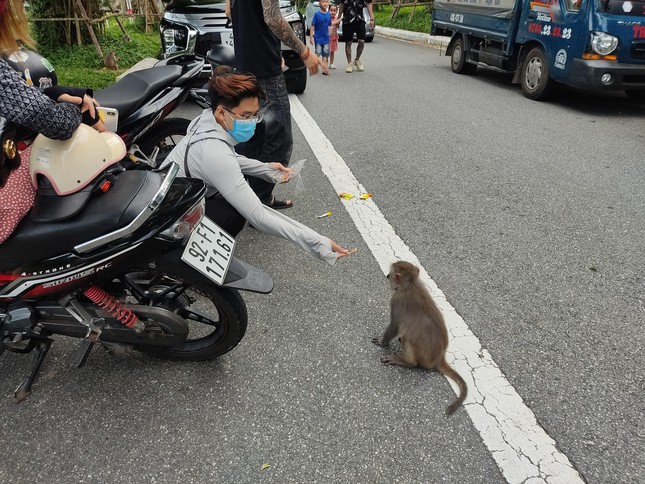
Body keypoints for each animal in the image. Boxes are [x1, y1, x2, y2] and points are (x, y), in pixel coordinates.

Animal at [372, 260, 468, 416]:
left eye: (391, 274)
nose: (387, 276)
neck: (411, 284)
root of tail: (439, 357)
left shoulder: (396, 300)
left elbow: (394, 326)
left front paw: (383, 341)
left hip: (422, 357)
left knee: (408, 338)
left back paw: (406, 361)